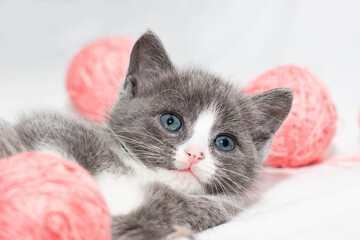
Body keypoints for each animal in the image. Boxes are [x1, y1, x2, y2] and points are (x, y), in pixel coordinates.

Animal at [0, 31, 292, 240]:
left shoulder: (181, 210)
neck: (142, 174)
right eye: (171, 122)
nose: (195, 154)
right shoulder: (51, 128)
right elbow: (48, 149)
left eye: (225, 142)